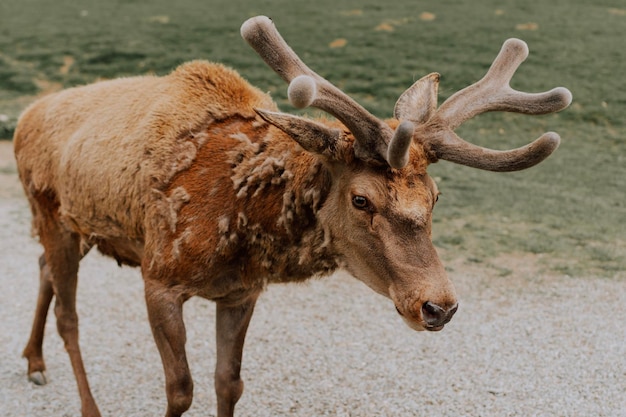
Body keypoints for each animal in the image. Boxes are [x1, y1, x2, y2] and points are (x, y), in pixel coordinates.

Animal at [13, 15, 572, 416]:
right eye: (361, 199)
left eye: (436, 197)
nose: (438, 306)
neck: (237, 224)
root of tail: (24, 115)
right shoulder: (160, 278)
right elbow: (180, 389)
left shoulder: (241, 291)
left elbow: (229, 383)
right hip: (50, 211)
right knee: (69, 315)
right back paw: (82, 401)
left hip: (80, 228)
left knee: (41, 268)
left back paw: (33, 361)